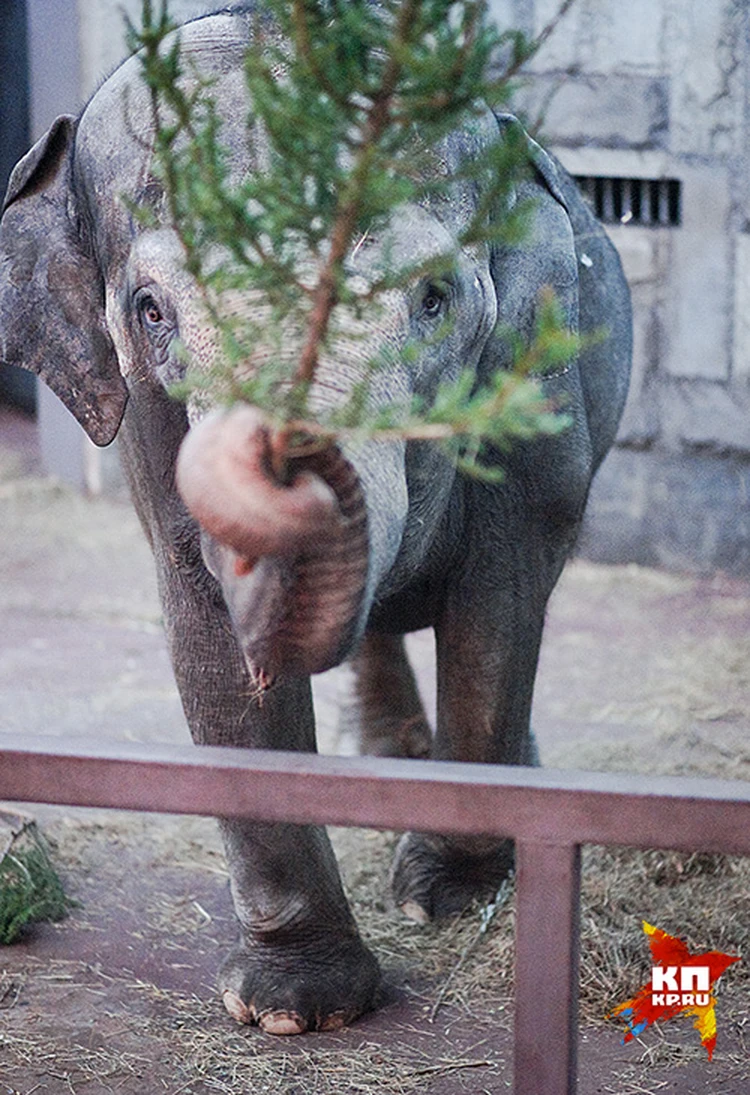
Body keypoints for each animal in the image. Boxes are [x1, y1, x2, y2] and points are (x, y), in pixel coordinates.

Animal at [0, 6, 630, 1033]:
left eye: (432, 297)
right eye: (151, 311)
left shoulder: (534, 365)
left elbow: (497, 598)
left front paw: (449, 895)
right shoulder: (148, 430)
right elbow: (204, 624)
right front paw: (295, 1009)